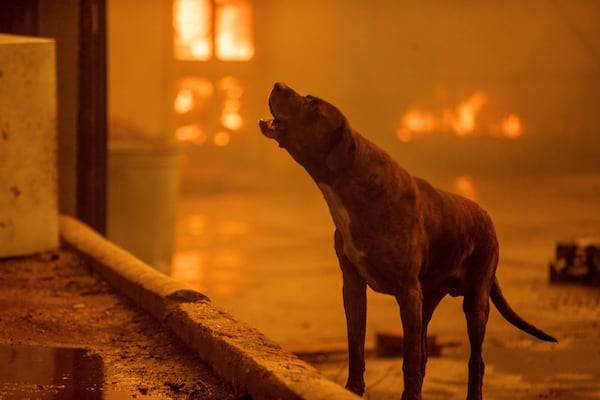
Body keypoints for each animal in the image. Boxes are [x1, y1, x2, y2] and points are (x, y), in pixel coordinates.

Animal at [258, 82, 556, 400]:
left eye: (312, 104)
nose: (278, 85)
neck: (351, 184)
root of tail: (486, 215)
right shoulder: (353, 285)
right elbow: (357, 345)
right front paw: (353, 389)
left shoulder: (408, 293)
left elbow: (409, 357)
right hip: (429, 299)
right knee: (425, 349)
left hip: (475, 302)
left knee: (475, 360)